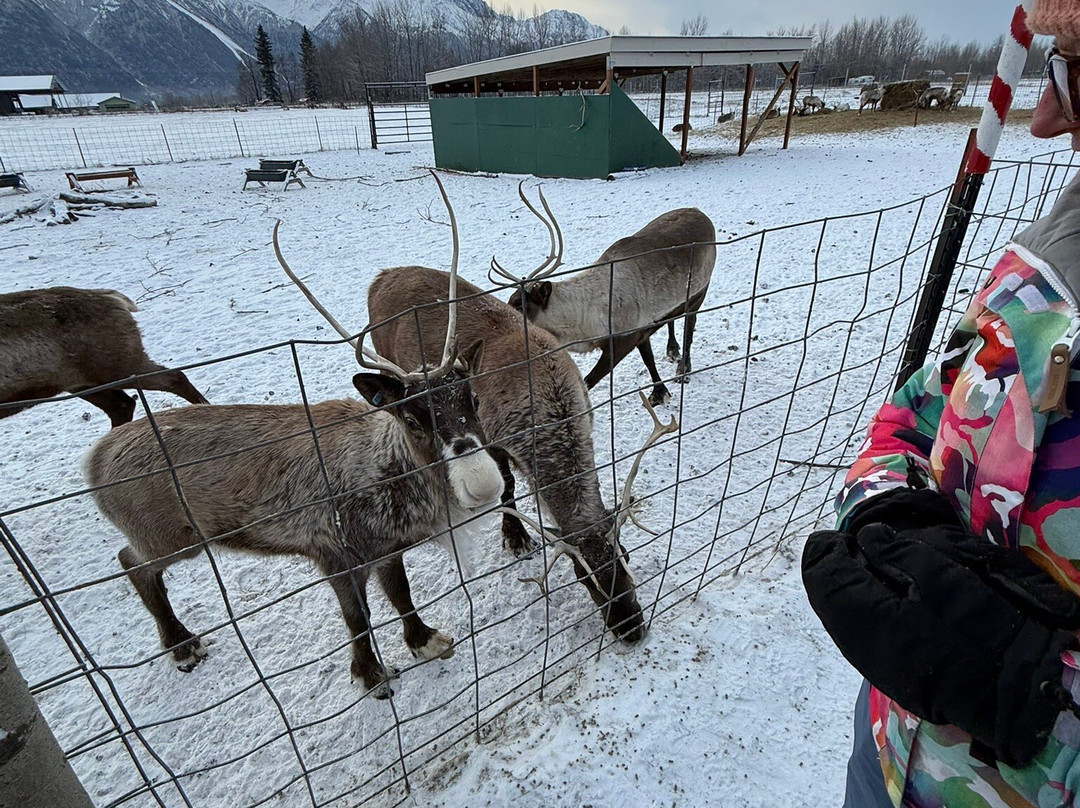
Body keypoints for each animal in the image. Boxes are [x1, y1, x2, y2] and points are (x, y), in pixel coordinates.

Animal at [84, 177, 505, 700]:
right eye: (412, 417)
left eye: (472, 397)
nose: (483, 484)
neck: (388, 471)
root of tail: (94, 459)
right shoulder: (334, 556)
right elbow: (358, 618)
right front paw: (371, 676)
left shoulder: (386, 549)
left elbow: (400, 593)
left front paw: (423, 641)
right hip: (172, 539)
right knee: (131, 563)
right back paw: (182, 647)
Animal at [499, 186, 716, 406]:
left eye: (519, 305)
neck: (585, 312)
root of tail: (700, 213)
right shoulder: (641, 331)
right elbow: (649, 359)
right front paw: (659, 391)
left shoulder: (623, 340)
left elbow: (589, 382)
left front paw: (659, 393)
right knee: (673, 319)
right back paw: (672, 349)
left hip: (700, 293)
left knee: (689, 326)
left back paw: (684, 368)